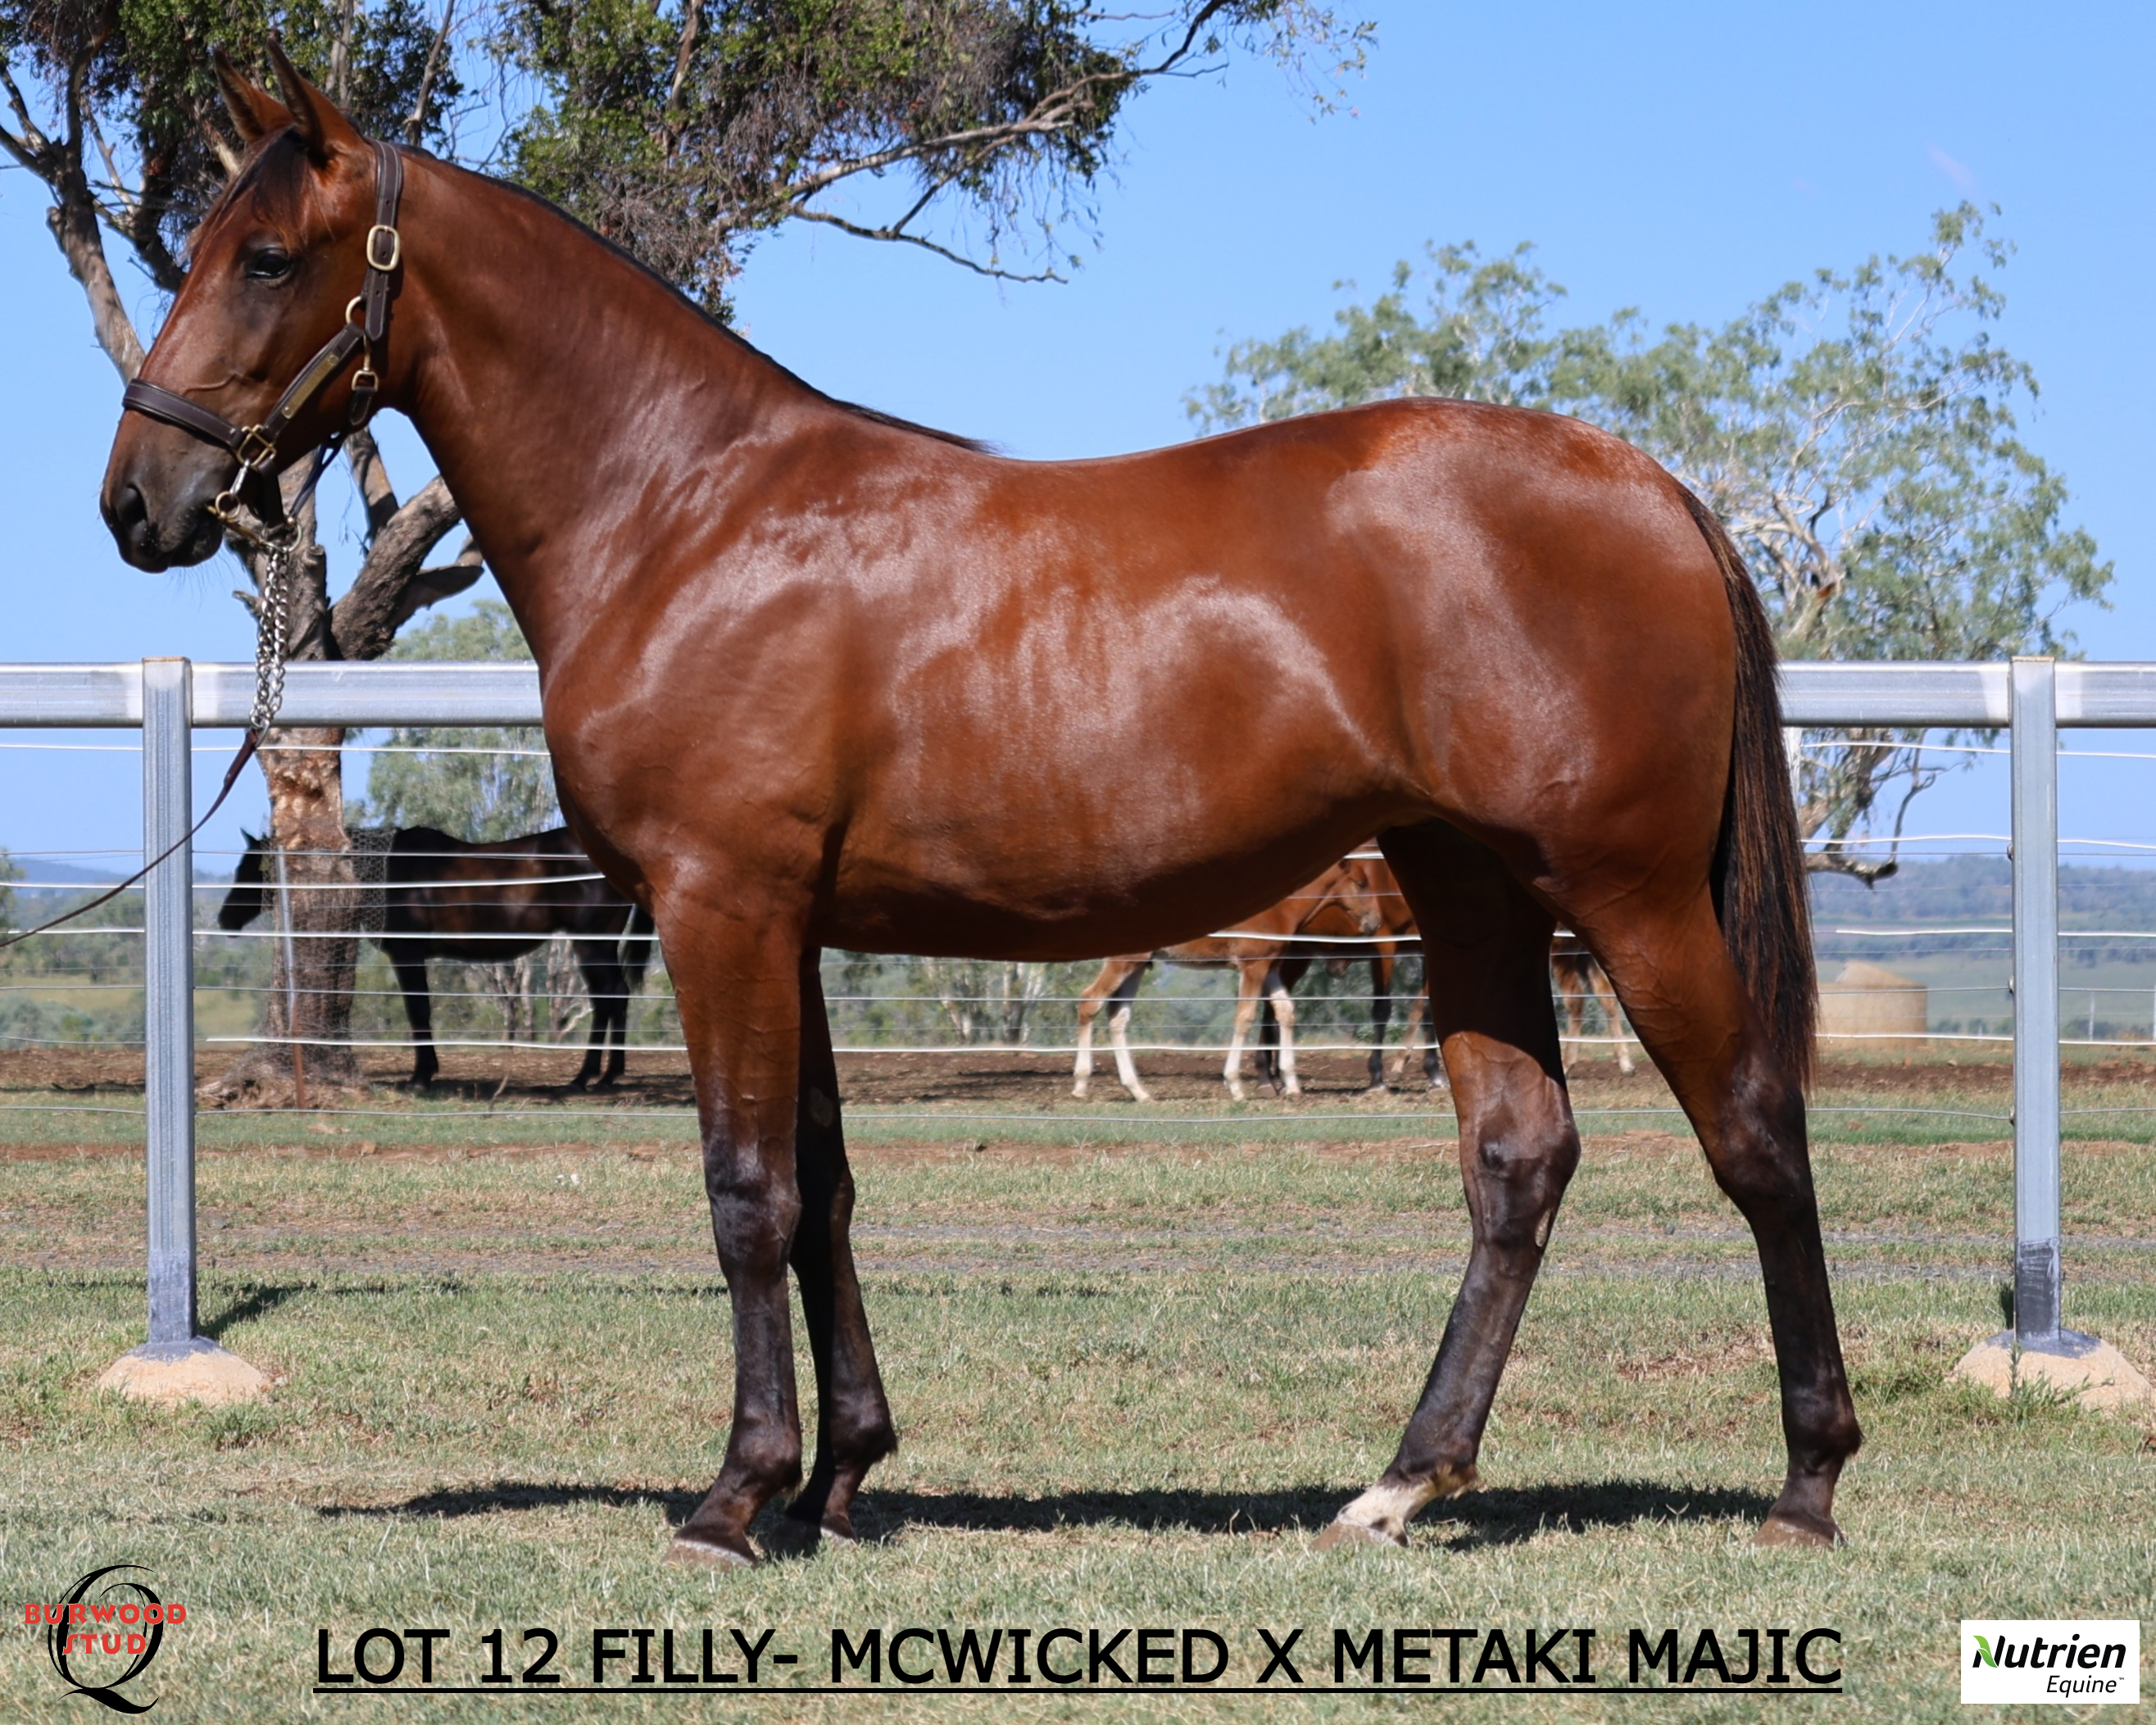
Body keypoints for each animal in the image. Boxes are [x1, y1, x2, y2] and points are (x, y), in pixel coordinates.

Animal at [219, 826, 655, 1090]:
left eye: (251, 870)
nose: (225, 919)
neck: (388, 872)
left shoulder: (408, 953)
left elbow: (418, 1011)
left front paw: (421, 1076)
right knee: (614, 996)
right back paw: (607, 1075)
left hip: (591, 942)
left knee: (608, 996)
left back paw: (588, 1077)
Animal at [1070, 859, 1380, 1102]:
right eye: (1360, 883)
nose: (1375, 922)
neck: (1278, 908)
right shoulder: (1252, 966)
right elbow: (1245, 1016)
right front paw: (1235, 1086)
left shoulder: (1269, 966)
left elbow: (1286, 1011)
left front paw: (1292, 1085)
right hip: (1124, 961)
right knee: (1090, 1001)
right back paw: (1081, 1084)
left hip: (1137, 965)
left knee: (1117, 1018)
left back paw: (1139, 1091)